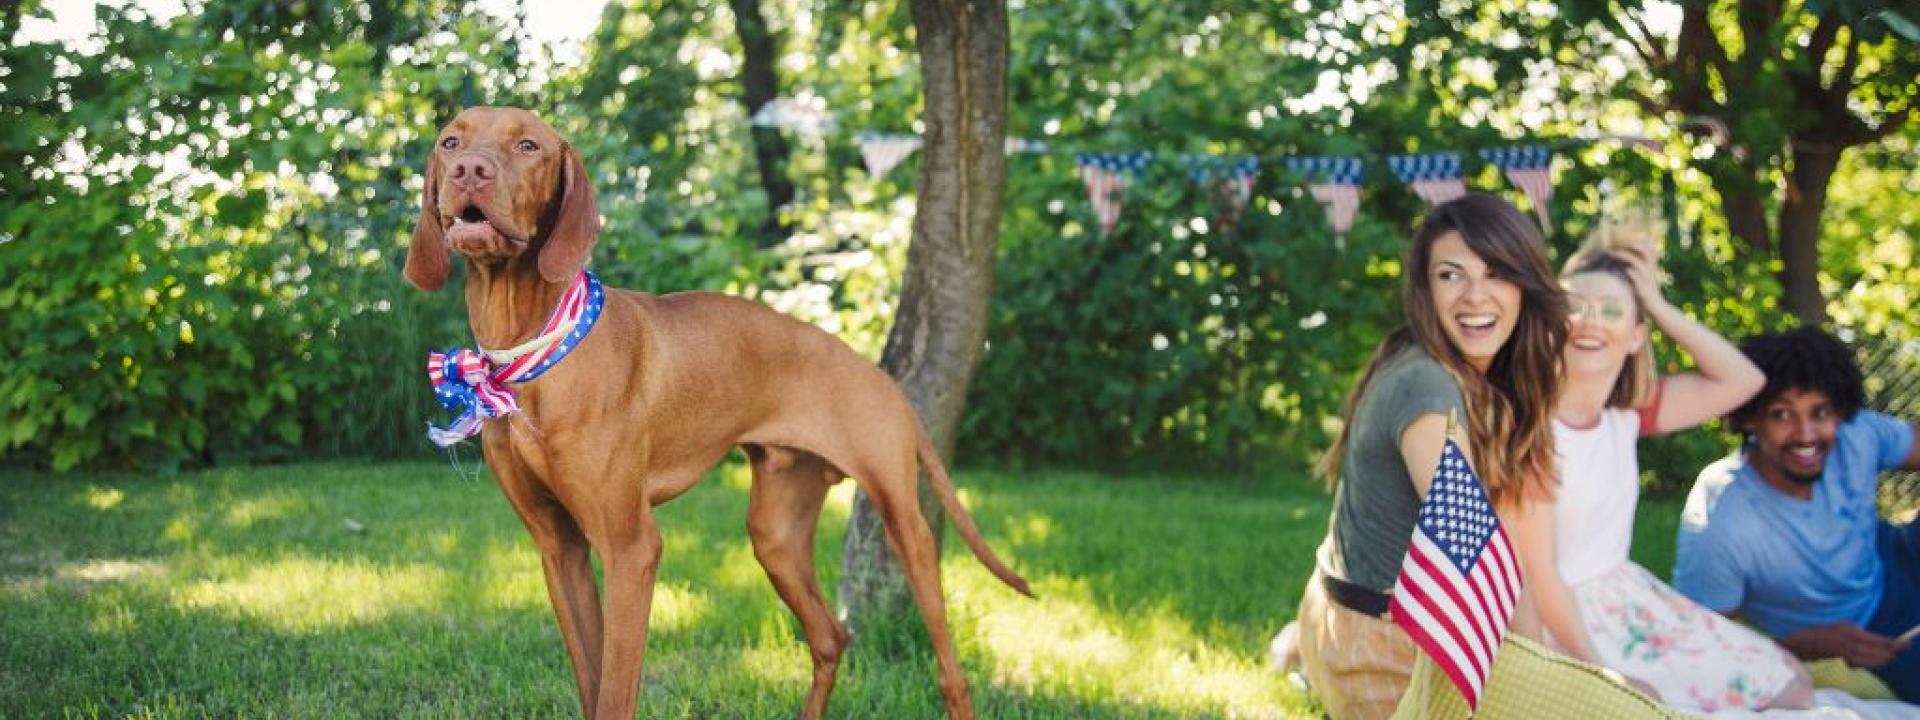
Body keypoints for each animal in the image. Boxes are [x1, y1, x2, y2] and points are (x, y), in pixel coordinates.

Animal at [401, 108, 1036, 720]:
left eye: (528, 145)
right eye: (450, 142)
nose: (469, 172)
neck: (529, 348)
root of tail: (883, 378)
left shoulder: (632, 550)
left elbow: (614, 695)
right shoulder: (560, 550)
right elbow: (591, 683)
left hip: (905, 525)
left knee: (950, 674)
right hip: (775, 535)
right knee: (830, 637)